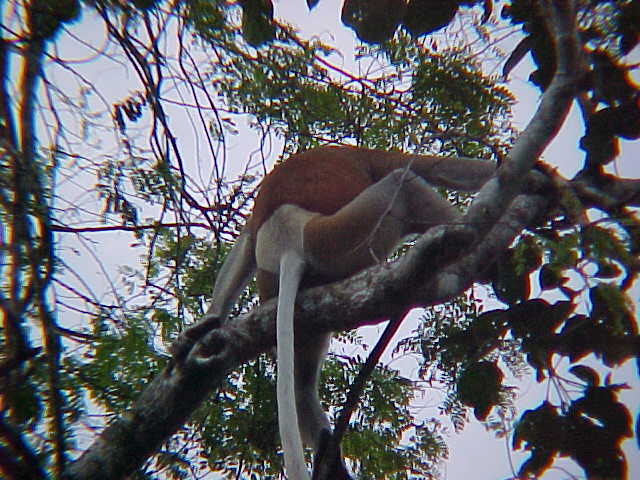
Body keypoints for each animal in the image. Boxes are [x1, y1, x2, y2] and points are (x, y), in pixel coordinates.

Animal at [178, 145, 498, 480]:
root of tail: (289, 247)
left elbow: (243, 244)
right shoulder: (363, 157)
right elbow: (430, 167)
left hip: (296, 296)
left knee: (301, 384)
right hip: (341, 239)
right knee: (403, 184)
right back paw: (483, 256)